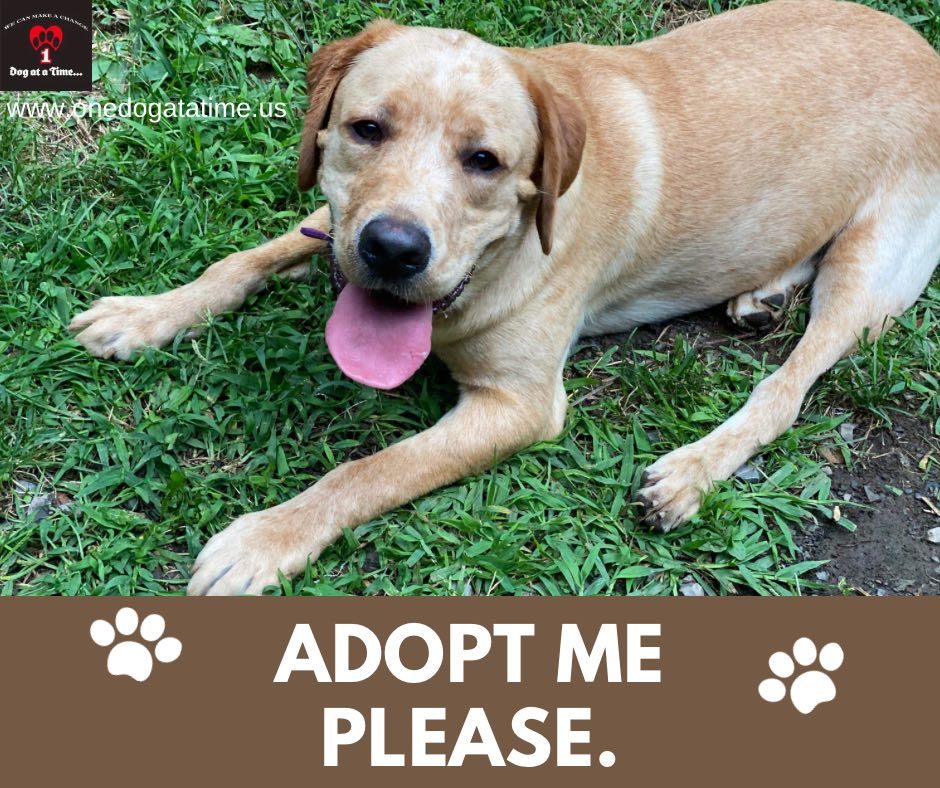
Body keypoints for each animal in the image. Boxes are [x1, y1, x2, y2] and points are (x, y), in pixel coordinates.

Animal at [70, 0, 940, 592]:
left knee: (789, 385)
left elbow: (369, 471)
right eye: (366, 128)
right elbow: (242, 260)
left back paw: (692, 471)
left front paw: (266, 539)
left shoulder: (518, 405)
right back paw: (763, 292)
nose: (393, 249)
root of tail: (923, 46)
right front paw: (145, 314)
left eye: (484, 160)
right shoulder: (332, 226)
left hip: (866, 273)